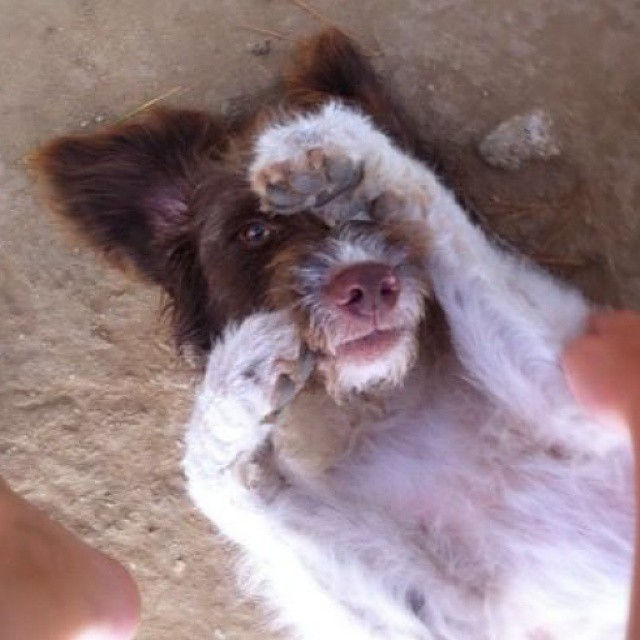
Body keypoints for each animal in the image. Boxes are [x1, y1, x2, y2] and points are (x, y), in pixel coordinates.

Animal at [36, 30, 633, 640]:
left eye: (370, 219)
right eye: (255, 232)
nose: (368, 285)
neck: (391, 404)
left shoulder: (583, 403)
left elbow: (442, 221)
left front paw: (343, 144)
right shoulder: (452, 619)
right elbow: (218, 477)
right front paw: (235, 388)